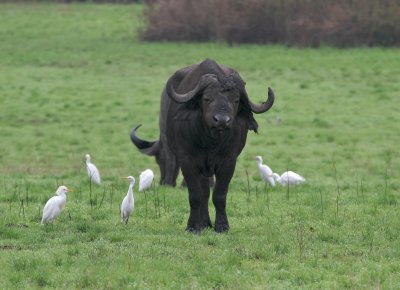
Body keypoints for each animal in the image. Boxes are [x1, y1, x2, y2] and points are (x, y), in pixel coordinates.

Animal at [130, 59, 274, 233]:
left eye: (235, 100)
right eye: (207, 98)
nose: (222, 120)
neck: (210, 141)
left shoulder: (229, 162)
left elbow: (219, 195)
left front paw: (222, 226)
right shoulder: (187, 161)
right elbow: (195, 195)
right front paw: (193, 226)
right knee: (203, 192)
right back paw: (204, 223)